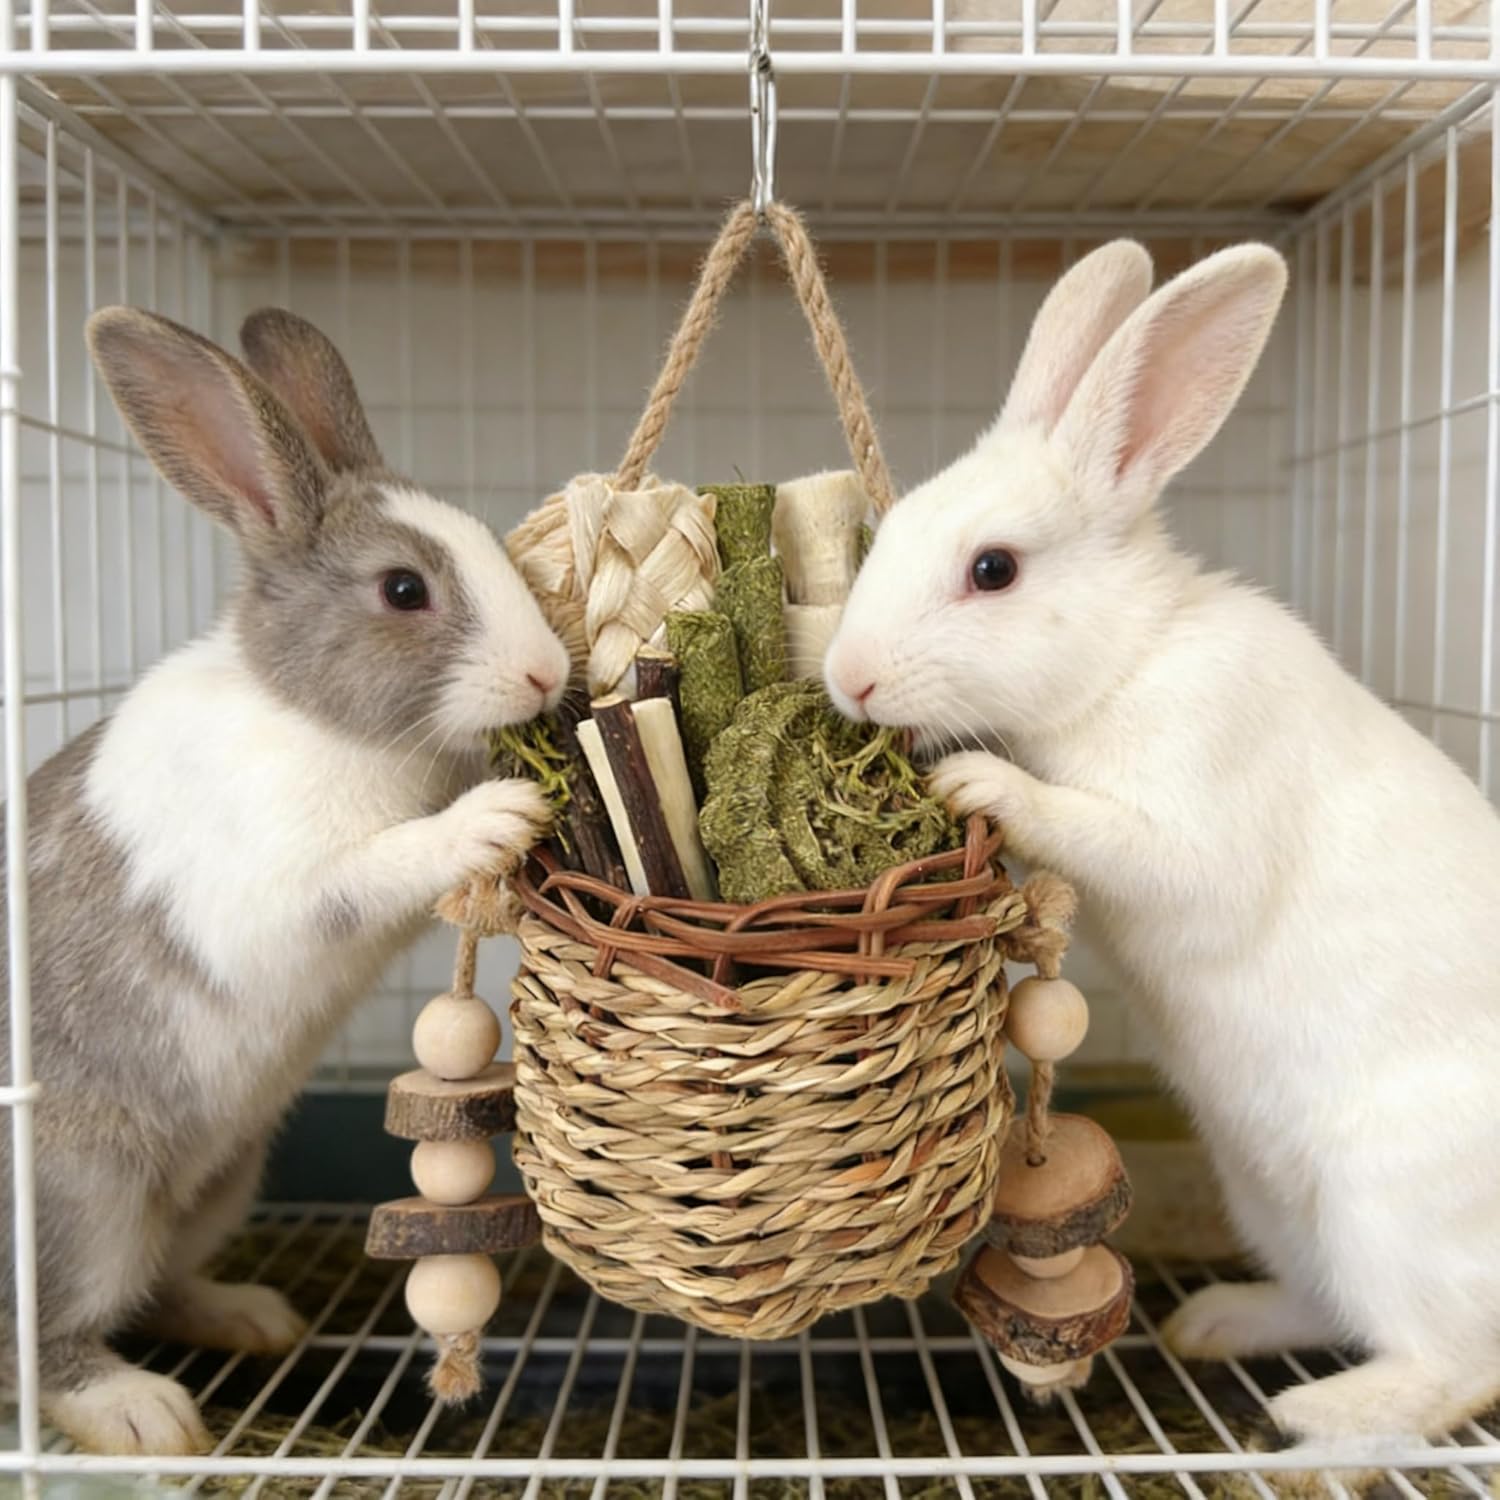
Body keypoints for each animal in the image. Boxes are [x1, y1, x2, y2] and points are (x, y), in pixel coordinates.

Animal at [0, 305, 570, 1455]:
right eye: (404, 589)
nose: (547, 673)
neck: (315, 717)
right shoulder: (280, 892)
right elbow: (381, 865)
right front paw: (495, 815)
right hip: (87, 1194)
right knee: (39, 1337)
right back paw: (144, 1416)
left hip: (221, 1185)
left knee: (160, 1287)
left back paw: (253, 1318)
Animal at [825, 240, 1500, 1451]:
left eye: (993, 570)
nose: (847, 678)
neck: (1125, 660)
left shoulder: (1192, 813)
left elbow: (1103, 832)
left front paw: (978, 781)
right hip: (1272, 1201)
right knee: (1326, 1302)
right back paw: (1213, 1327)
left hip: (1390, 1210)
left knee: (1457, 1364)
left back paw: (1319, 1415)